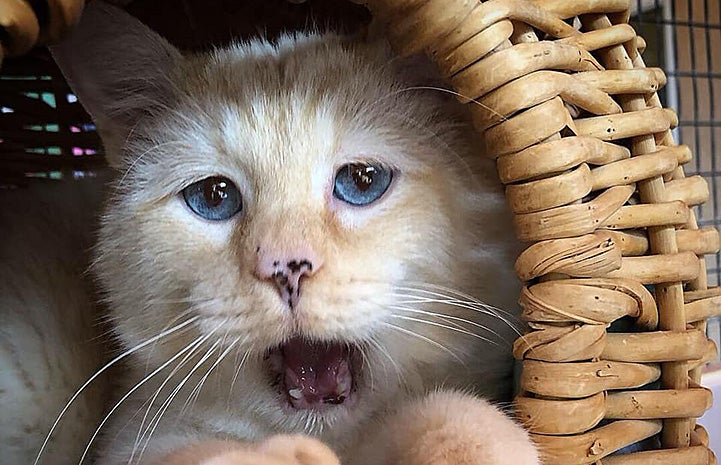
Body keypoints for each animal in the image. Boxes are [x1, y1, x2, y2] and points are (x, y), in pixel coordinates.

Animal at [11, 1, 536, 462]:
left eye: (363, 181)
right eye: (214, 197)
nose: (286, 269)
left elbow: (460, 415)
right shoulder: (136, 440)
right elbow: (212, 454)